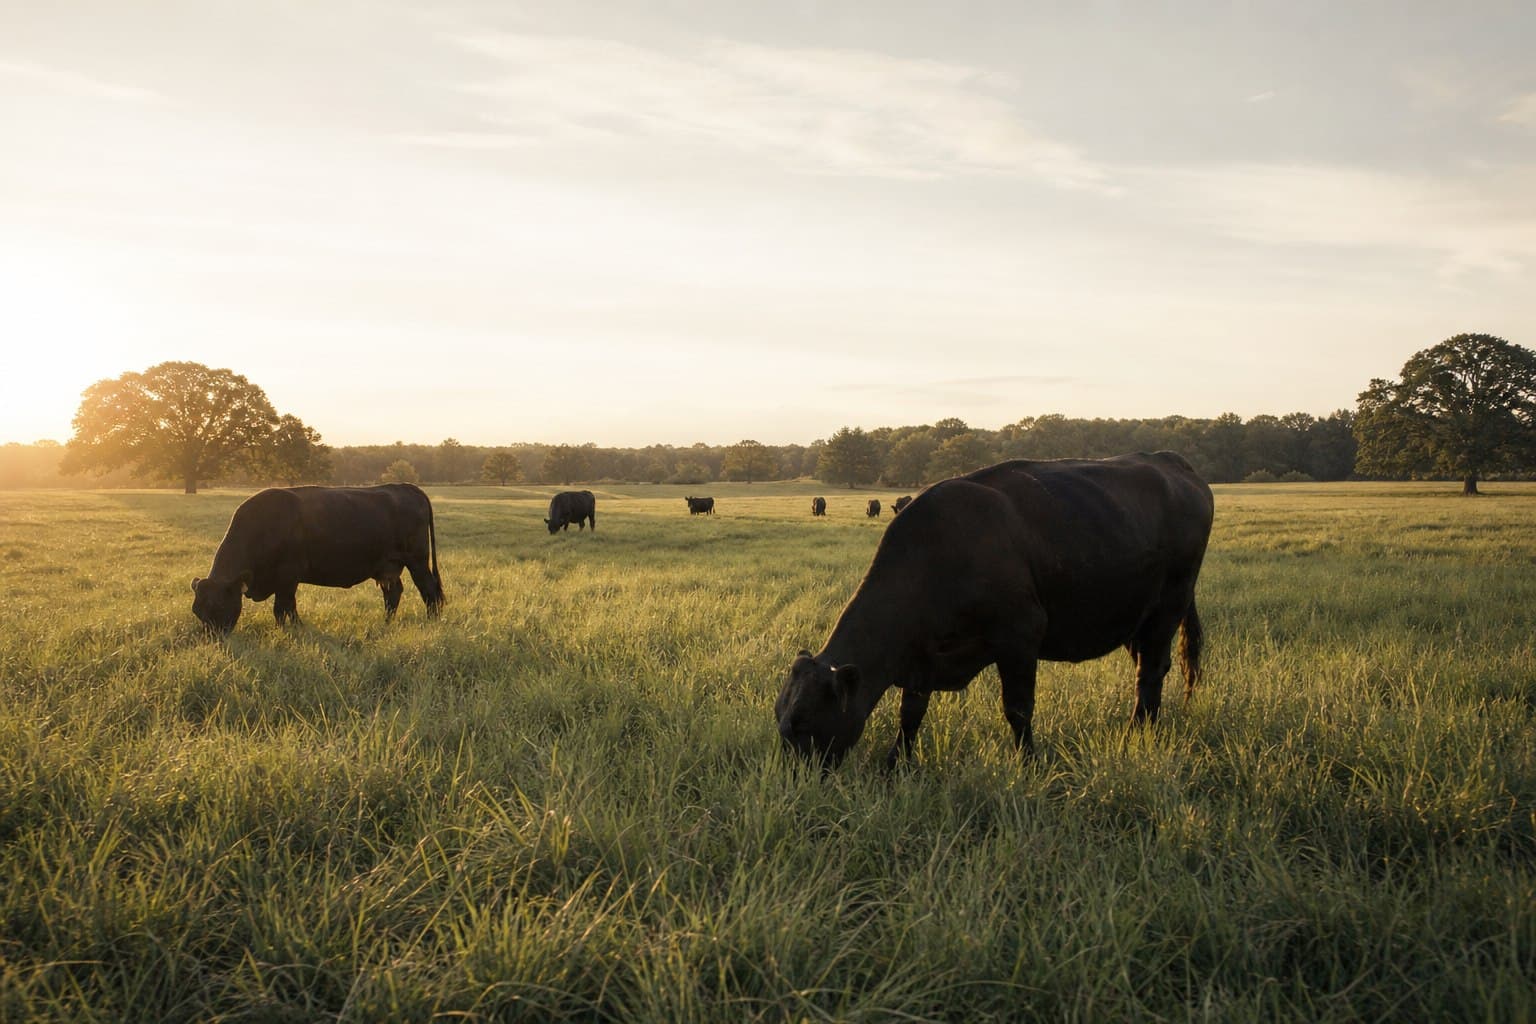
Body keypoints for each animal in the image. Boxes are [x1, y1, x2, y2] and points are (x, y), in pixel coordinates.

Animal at [191, 483, 444, 635]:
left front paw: (285, 631)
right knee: (393, 594)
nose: (214, 639)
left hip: (418, 562)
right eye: (197, 611)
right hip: (388, 568)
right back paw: (386, 624)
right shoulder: (285, 582)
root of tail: (406, 487)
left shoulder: (287, 577)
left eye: (219, 605)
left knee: (429, 591)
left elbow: (281, 608)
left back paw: (432, 623)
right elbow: (290, 607)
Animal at [775, 453, 1213, 770]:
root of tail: (1168, 461)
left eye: (803, 722)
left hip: (1169, 605)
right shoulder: (921, 657)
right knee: (1149, 668)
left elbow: (1017, 709)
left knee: (1151, 671)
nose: (795, 781)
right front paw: (894, 765)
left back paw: (1137, 734)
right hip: (1134, 617)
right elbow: (910, 714)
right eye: (780, 717)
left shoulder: (1020, 637)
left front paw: (1029, 765)